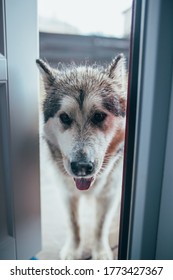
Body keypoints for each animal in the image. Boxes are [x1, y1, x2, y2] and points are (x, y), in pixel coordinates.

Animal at [35, 53, 126, 260]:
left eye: (99, 116)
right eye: (65, 118)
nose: (82, 167)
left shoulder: (110, 194)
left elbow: (100, 226)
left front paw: (100, 252)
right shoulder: (66, 192)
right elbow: (74, 223)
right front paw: (73, 250)